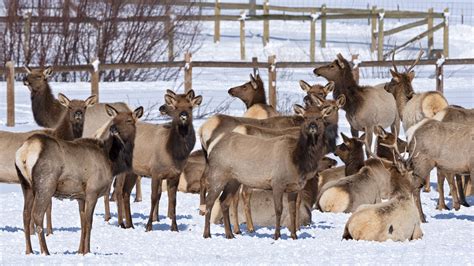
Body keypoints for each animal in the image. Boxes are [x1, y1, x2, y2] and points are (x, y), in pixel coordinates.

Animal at [0, 93, 96, 235]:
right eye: (70, 106)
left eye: (84, 107)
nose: (78, 113)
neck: (60, 136)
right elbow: (48, 207)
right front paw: (48, 231)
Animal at [15, 105, 143, 255]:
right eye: (114, 120)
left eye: (129, 120)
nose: (113, 129)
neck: (112, 163)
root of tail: (25, 151)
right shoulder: (92, 190)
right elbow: (89, 222)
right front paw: (87, 251)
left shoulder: (80, 196)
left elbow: (82, 222)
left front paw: (79, 251)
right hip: (45, 183)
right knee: (37, 215)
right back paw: (45, 251)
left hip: (26, 185)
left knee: (25, 215)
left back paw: (29, 251)